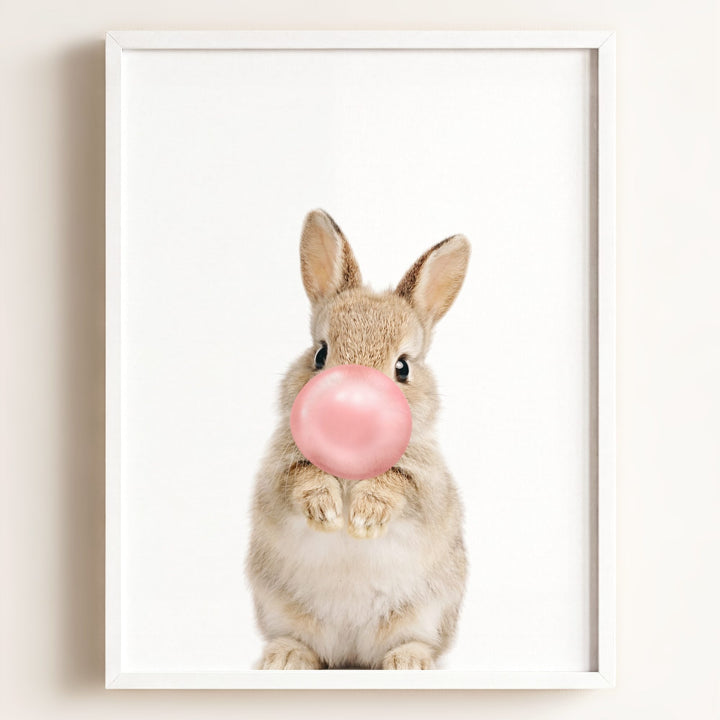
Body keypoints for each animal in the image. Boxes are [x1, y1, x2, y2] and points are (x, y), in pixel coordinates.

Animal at [246, 209, 470, 670]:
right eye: (320, 354)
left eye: (403, 367)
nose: (350, 407)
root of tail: (351, 654)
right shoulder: (278, 474)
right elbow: (301, 479)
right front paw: (328, 513)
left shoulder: (426, 485)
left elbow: (396, 484)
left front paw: (363, 520)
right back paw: (285, 658)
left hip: (427, 613)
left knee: (414, 642)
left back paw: (409, 663)